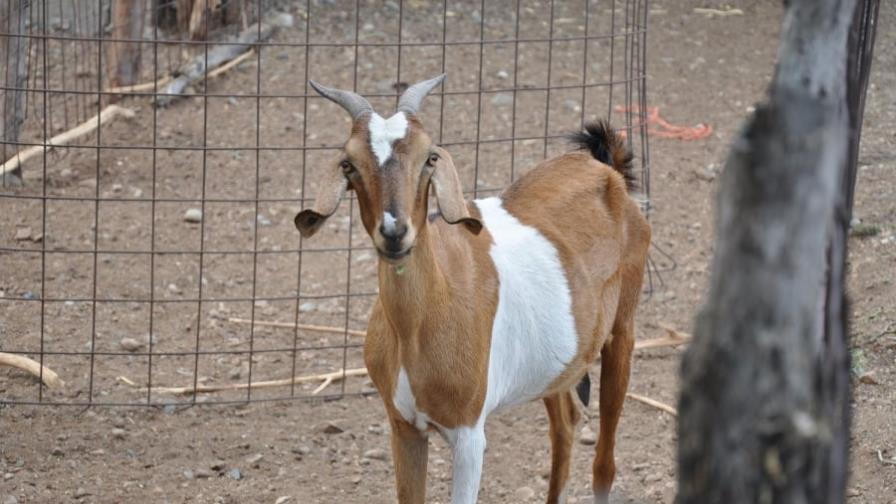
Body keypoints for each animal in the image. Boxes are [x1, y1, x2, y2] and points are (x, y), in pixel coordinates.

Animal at [294, 75, 652, 504]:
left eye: (429, 157)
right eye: (349, 164)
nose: (394, 232)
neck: (420, 326)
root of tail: (606, 170)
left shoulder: (468, 434)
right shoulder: (403, 426)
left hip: (623, 330)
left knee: (604, 463)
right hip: (559, 363)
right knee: (565, 424)